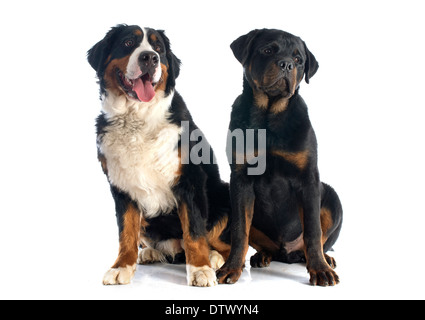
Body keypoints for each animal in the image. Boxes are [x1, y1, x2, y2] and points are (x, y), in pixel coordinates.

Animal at [87, 23, 230, 286]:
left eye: (158, 48)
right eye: (127, 43)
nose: (149, 58)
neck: (137, 119)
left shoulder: (190, 181)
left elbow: (194, 232)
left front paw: (200, 269)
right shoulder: (121, 186)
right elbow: (126, 232)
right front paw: (122, 266)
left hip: (223, 193)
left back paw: (214, 257)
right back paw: (151, 252)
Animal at [217, 28, 342, 286]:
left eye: (298, 59)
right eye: (267, 50)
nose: (286, 64)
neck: (269, 116)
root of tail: (288, 254)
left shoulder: (308, 179)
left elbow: (313, 230)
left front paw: (320, 270)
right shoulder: (240, 179)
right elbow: (240, 230)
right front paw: (231, 268)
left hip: (333, 198)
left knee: (320, 240)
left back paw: (325, 259)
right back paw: (262, 256)